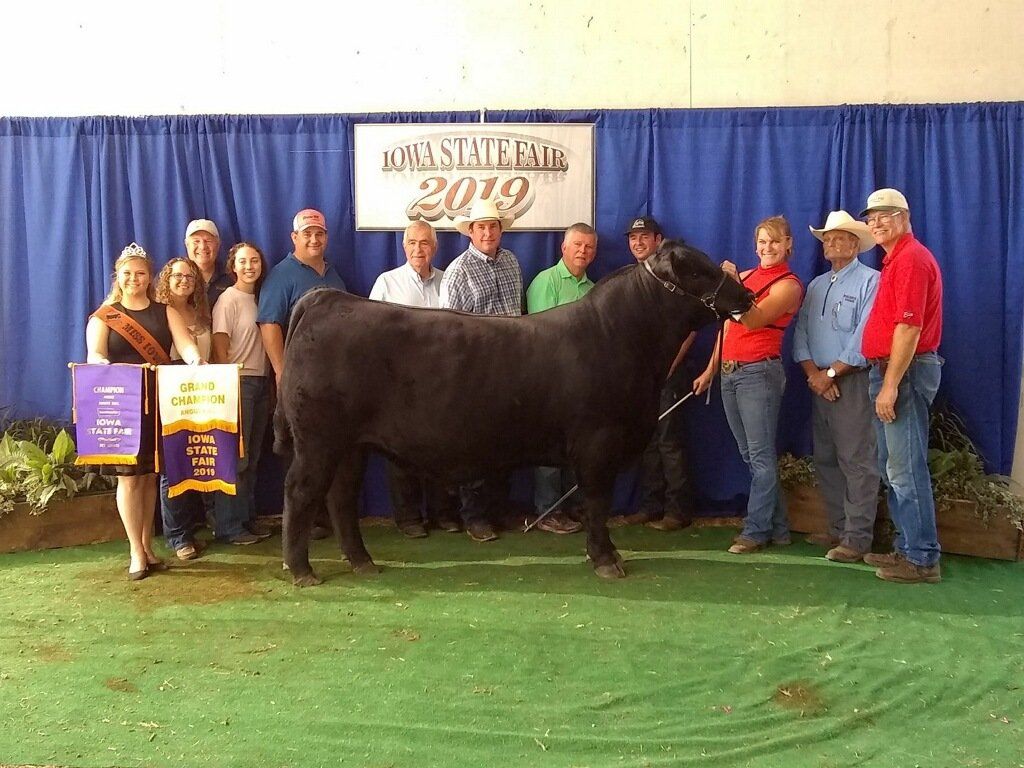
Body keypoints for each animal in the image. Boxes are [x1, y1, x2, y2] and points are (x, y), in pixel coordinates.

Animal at [275, 240, 754, 585]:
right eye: (698, 270)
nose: (747, 294)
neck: (623, 337)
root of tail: (328, 299)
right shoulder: (597, 444)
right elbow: (597, 503)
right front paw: (605, 559)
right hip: (318, 439)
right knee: (301, 491)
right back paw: (302, 570)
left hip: (350, 445)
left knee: (340, 497)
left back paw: (362, 561)